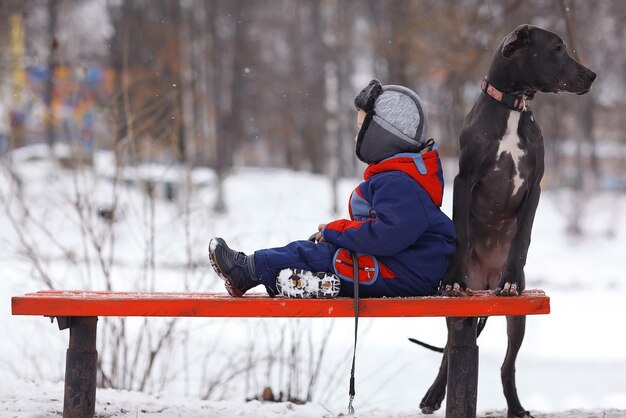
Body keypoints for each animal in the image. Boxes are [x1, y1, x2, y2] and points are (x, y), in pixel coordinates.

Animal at [416, 25, 592, 418]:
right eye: (557, 48)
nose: (592, 75)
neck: (512, 107)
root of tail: (484, 280)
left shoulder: (535, 185)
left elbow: (523, 235)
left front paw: (512, 277)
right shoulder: (464, 179)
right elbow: (460, 231)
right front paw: (453, 277)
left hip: (518, 319)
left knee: (506, 365)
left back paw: (515, 406)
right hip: (460, 311)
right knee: (450, 350)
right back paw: (434, 394)